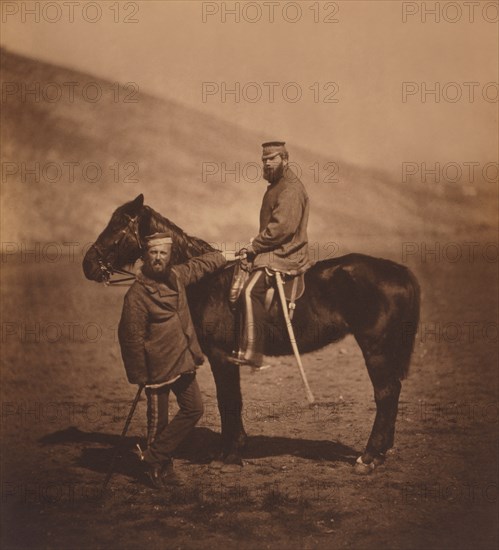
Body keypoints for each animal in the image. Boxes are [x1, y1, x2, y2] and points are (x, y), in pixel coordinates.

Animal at [84, 195, 420, 474]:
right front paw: (236, 447)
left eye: (119, 225)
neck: (208, 281)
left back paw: (369, 456)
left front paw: (229, 455)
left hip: (376, 349)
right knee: (392, 393)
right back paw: (380, 452)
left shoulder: (221, 356)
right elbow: (234, 401)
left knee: (385, 394)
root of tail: (399, 272)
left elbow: (228, 401)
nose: (88, 264)